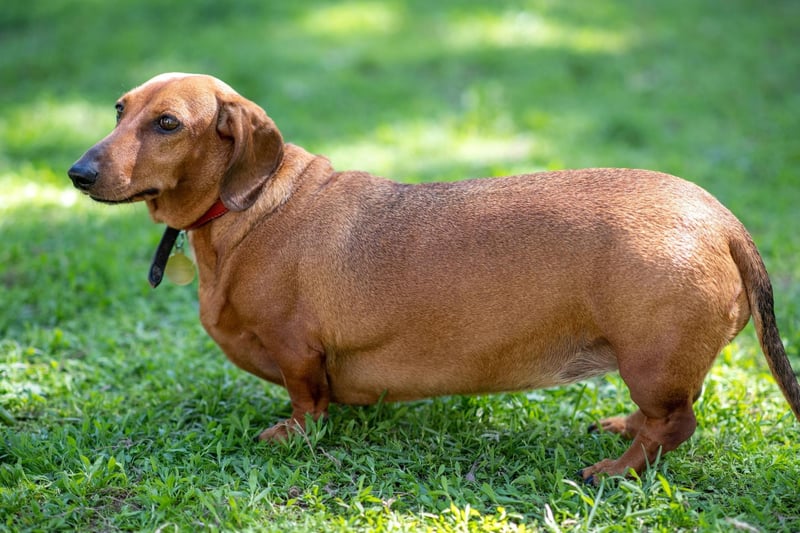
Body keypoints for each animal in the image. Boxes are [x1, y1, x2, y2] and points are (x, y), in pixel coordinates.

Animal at [69, 71, 800, 482]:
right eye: (119, 109)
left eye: (168, 123)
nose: (77, 172)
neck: (251, 210)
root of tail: (720, 217)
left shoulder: (297, 350)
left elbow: (307, 403)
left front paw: (291, 435)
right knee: (658, 421)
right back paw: (622, 430)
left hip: (651, 361)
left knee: (675, 425)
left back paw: (615, 471)